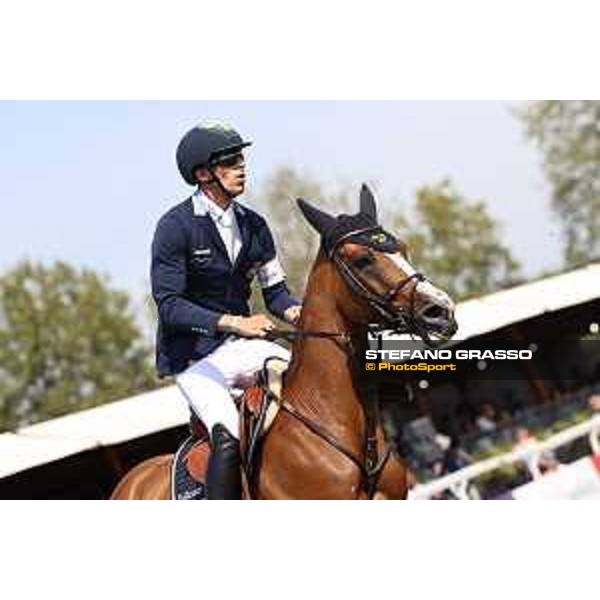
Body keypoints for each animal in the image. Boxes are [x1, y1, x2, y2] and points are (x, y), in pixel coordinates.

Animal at [111, 185, 454, 500]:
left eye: (403, 249)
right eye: (362, 260)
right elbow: (171, 299)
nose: (441, 311)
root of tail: (131, 480)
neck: (327, 414)